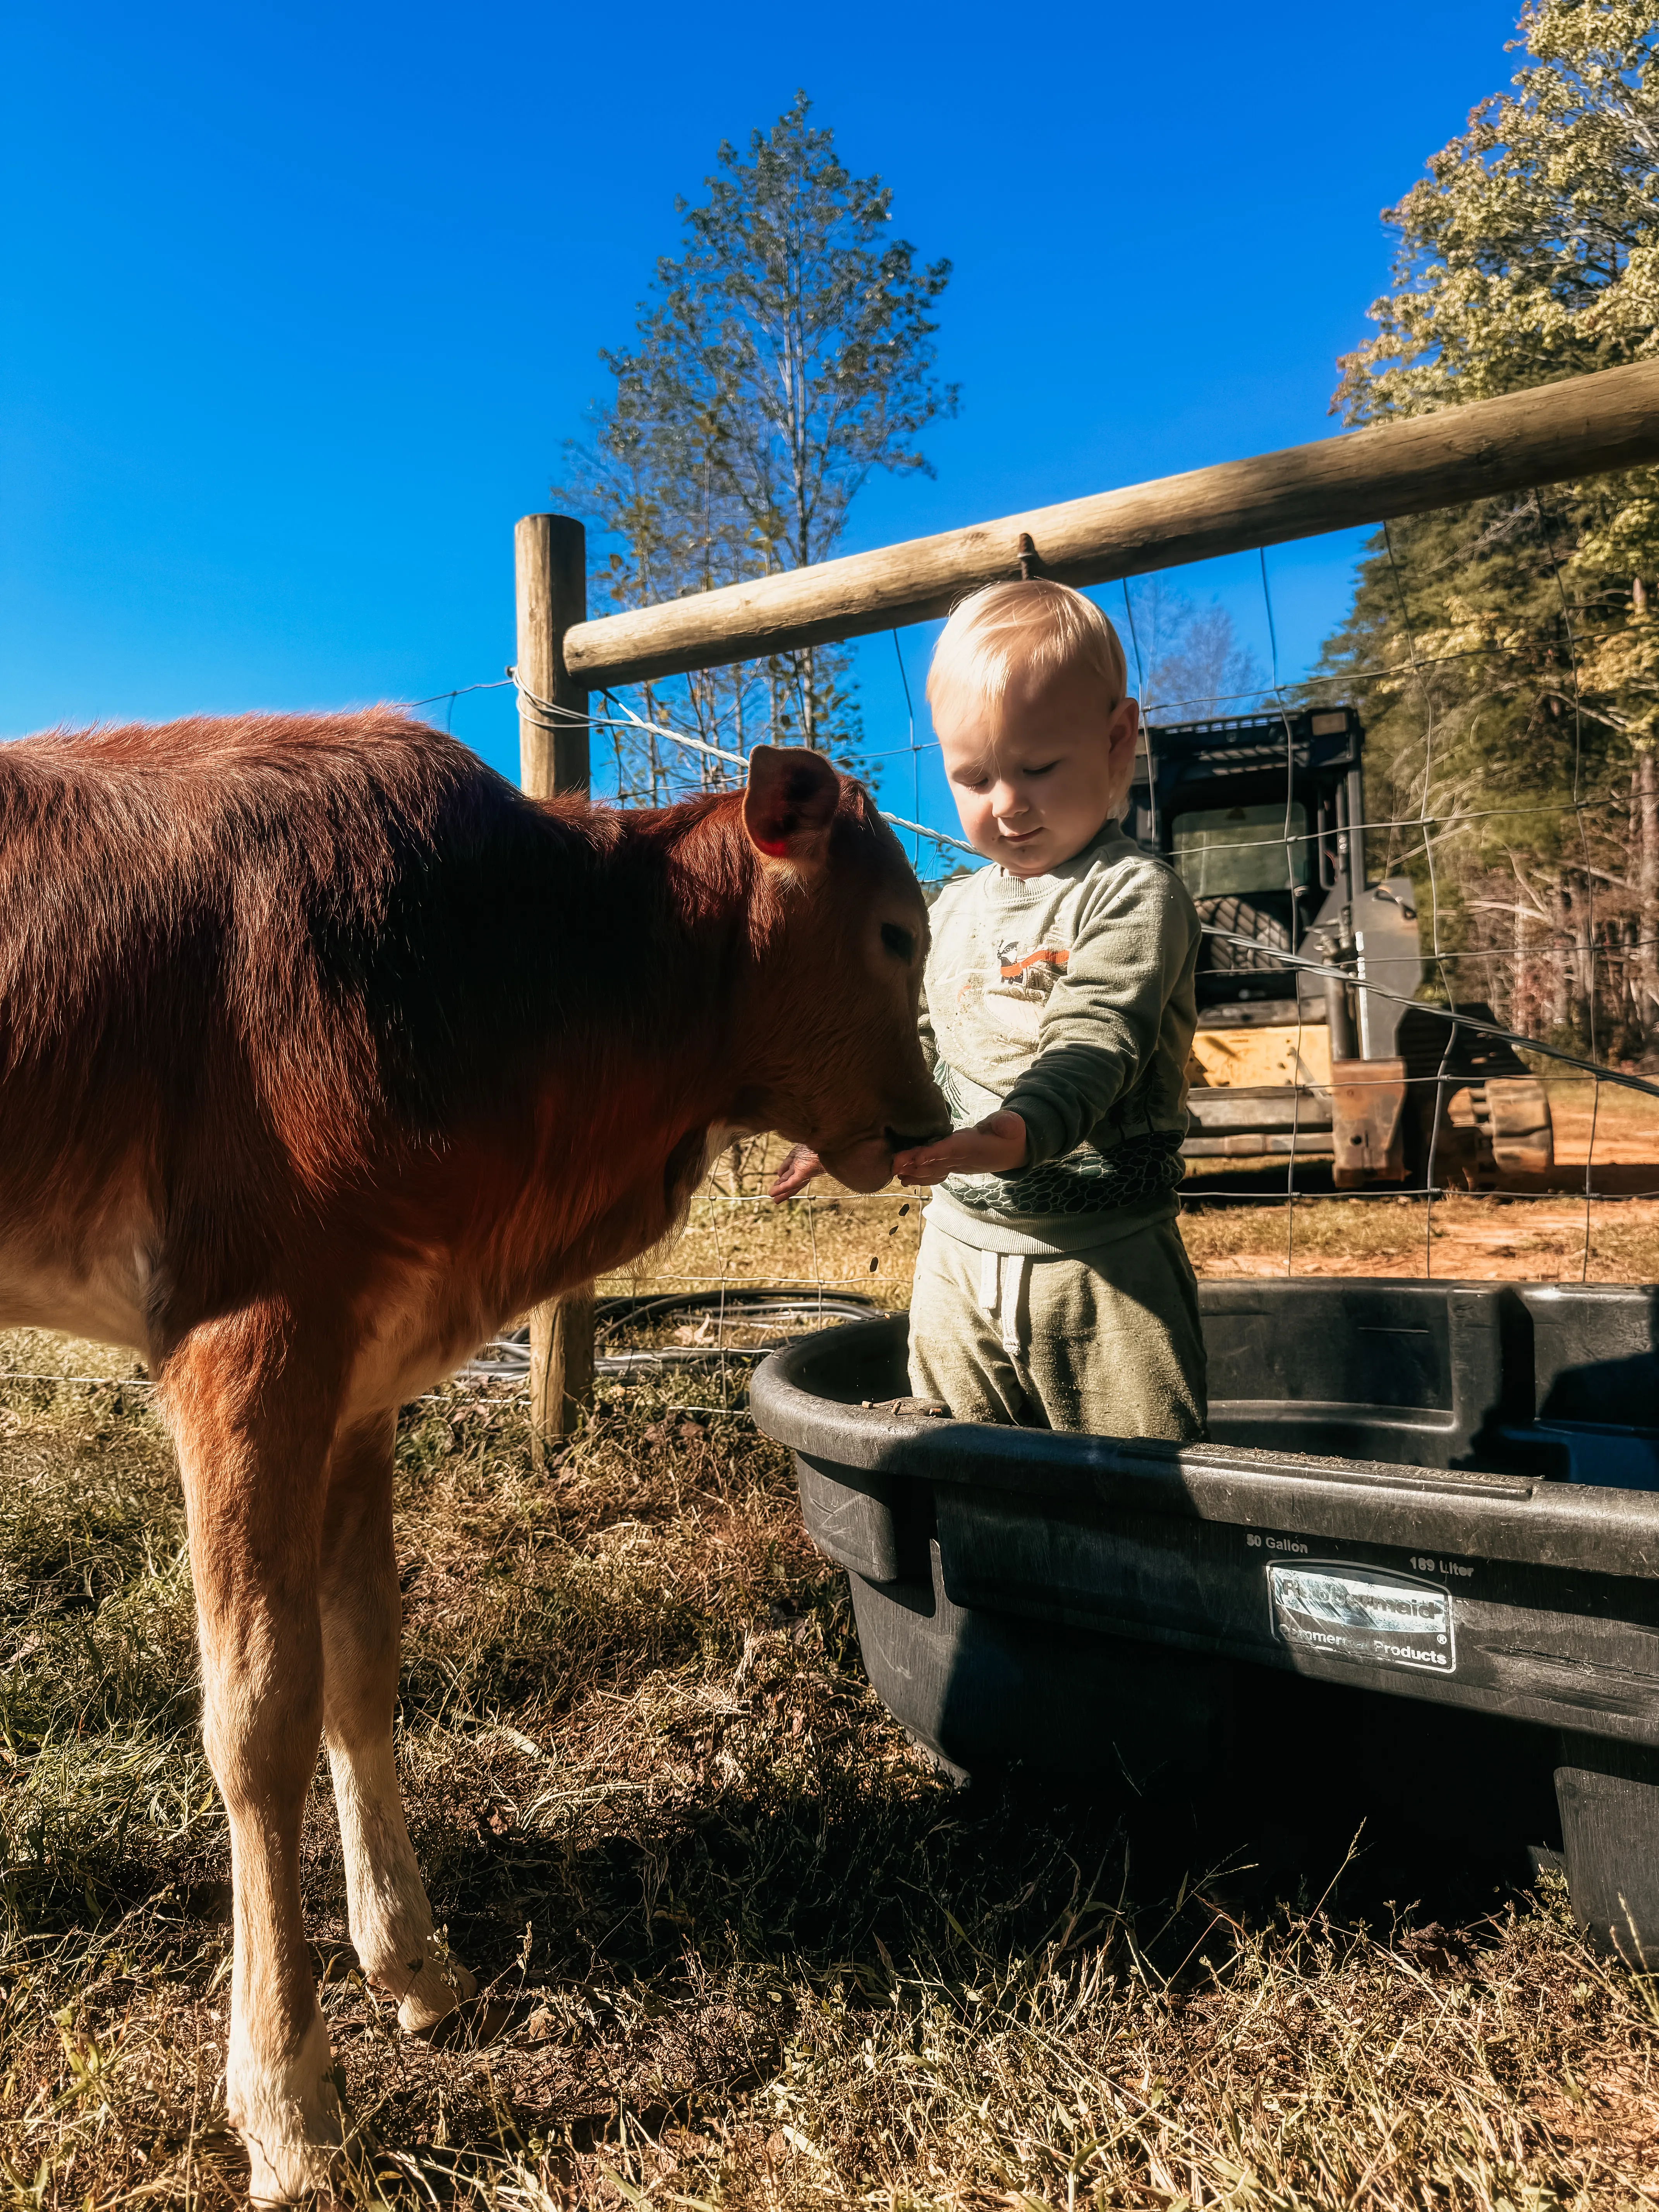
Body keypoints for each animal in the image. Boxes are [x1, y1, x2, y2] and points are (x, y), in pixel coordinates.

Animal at [0, 710, 947, 2199]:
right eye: (898, 932)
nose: (928, 1120)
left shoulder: (357, 1375)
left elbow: (362, 1668)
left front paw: (415, 1962)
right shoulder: (244, 1338)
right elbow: (258, 1711)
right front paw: (287, 2100)